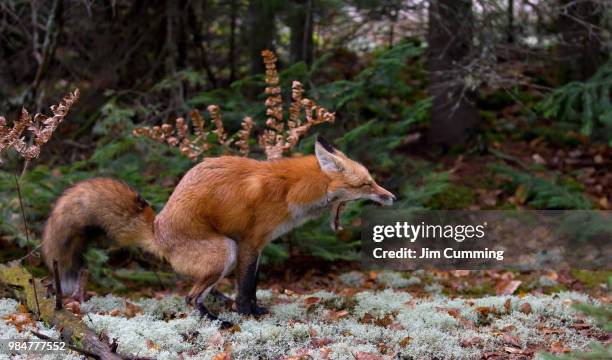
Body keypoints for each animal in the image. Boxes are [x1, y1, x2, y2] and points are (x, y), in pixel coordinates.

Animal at [40, 136, 394, 326]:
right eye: (366, 184)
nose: (391, 197)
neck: (291, 190)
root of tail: (157, 230)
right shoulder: (249, 242)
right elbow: (247, 287)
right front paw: (247, 314)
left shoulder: (258, 246)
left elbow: (251, 285)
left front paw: (253, 309)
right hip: (225, 250)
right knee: (189, 297)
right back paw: (216, 320)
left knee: (197, 290)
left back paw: (218, 302)